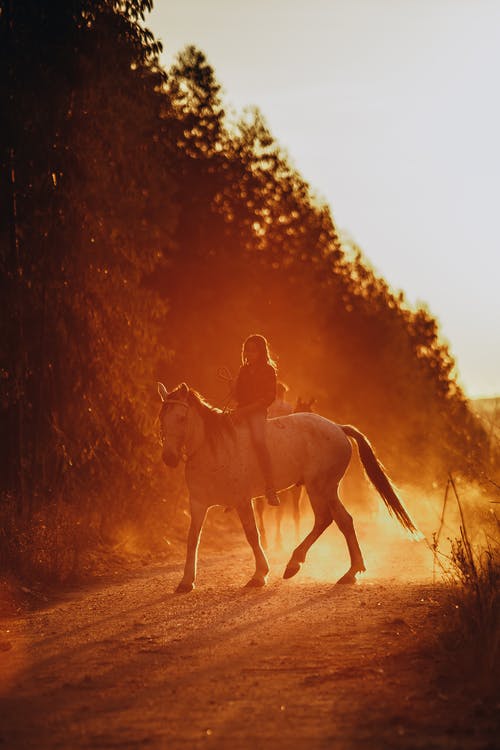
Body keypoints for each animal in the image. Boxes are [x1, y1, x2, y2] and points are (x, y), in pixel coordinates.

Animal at [157, 384, 422, 596]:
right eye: (162, 418)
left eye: (181, 418)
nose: (169, 458)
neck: (212, 447)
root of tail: (337, 427)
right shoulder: (198, 504)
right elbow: (193, 539)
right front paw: (186, 582)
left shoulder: (243, 500)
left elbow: (252, 535)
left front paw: (259, 575)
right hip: (328, 489)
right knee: (344, 520)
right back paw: (350, 572)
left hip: (318, 487)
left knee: (324, 519)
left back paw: (295, 563)